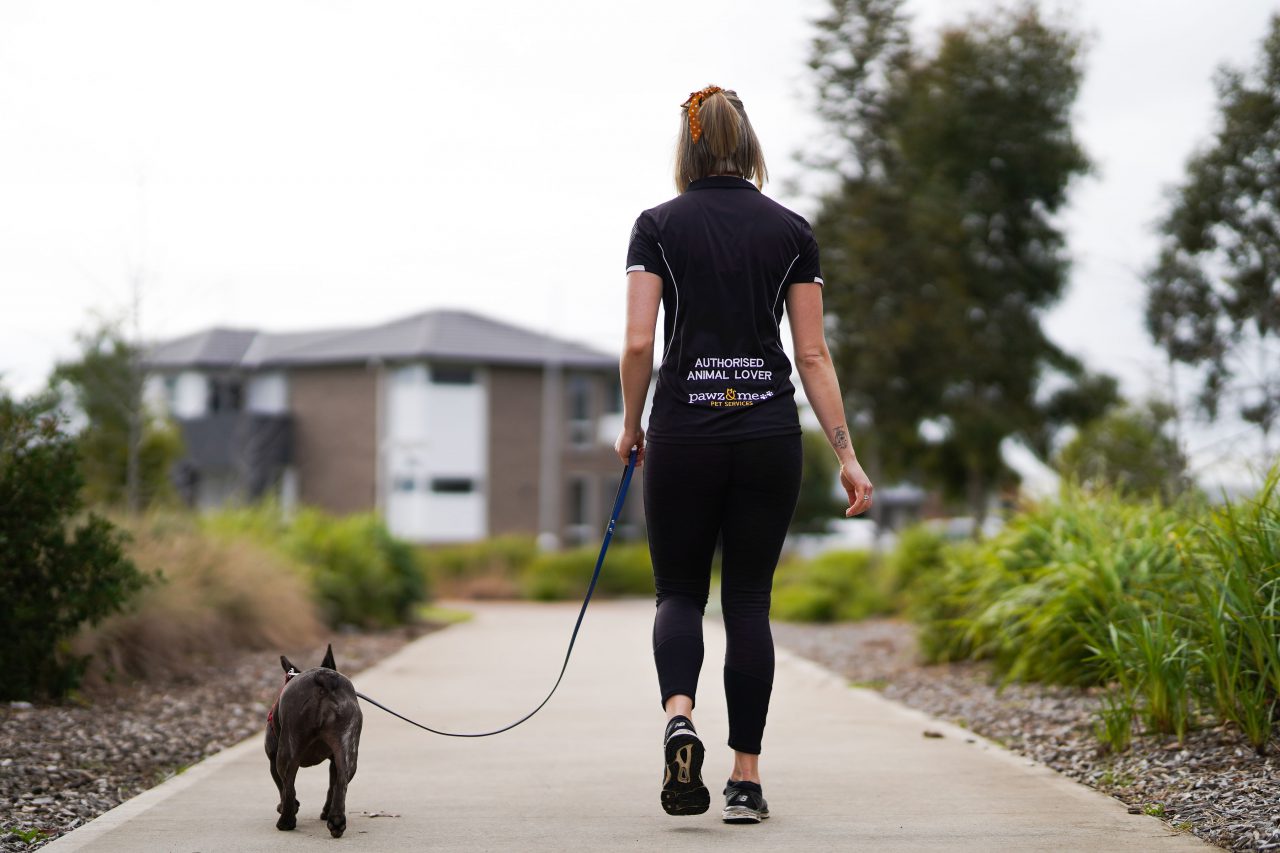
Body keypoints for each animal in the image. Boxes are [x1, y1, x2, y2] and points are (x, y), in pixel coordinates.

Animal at [261, 645, 358, 835]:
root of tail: (324, 677)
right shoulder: (334, 760)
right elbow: (332, 784)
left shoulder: (272, 761)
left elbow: (281, 787)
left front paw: (286, 807)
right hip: (347, 746)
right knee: (341, 781)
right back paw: (336, 821)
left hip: (287, 751)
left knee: (289, 785)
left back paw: (286, 821)